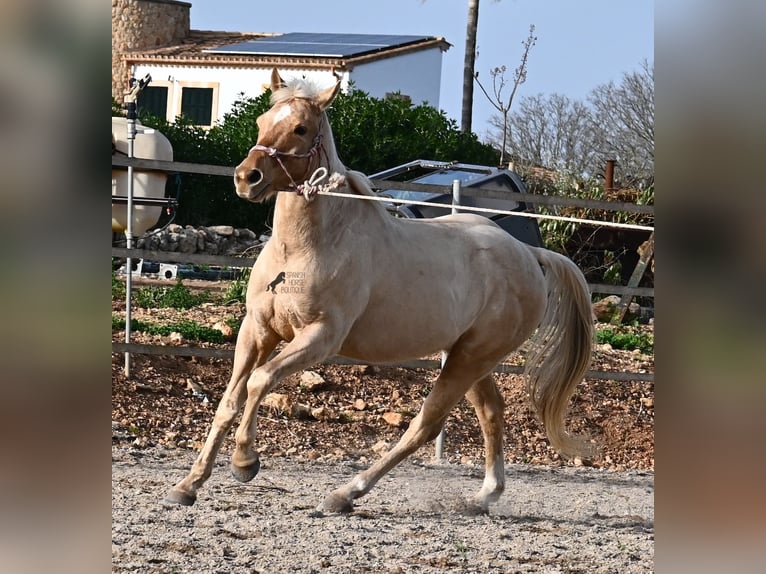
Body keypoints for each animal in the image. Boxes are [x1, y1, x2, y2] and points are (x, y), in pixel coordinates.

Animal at [166, 69, 595, 513]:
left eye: (300, 128)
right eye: (262, 122)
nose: (246, 178)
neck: (304, 247)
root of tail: (530, 253)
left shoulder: (319, 337)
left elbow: (259, 381)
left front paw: (245, 462)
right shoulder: (258, 330)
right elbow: (229, 400)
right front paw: (188, 485)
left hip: (471, 358)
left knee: (426, 424)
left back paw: (345, 493)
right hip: (466, 356)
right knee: (491, 411)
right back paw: (483, 496)